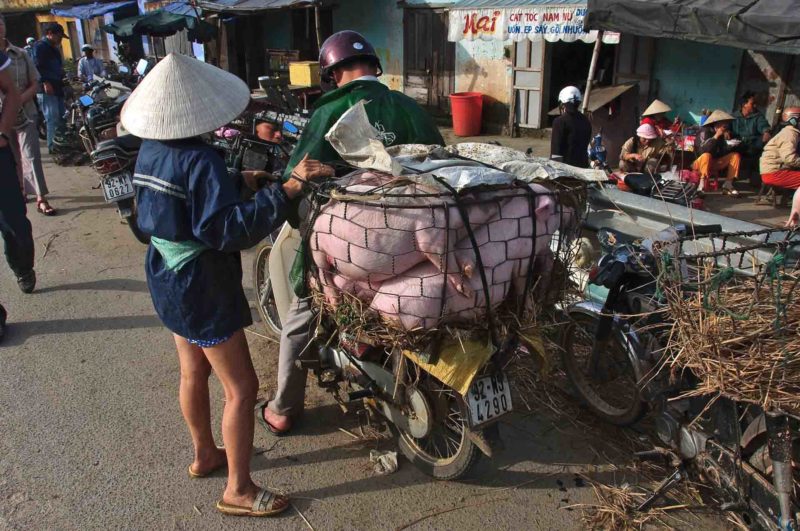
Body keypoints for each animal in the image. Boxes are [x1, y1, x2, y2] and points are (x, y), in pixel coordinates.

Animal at [304, 168, 584, 348]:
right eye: (556, 206)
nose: (573, 209)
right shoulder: (431, 235)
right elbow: (444, 260)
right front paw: (466, 289)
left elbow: (456, 256)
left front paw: (469, 270)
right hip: (317, 244)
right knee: (323, 273)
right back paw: (334, 302)